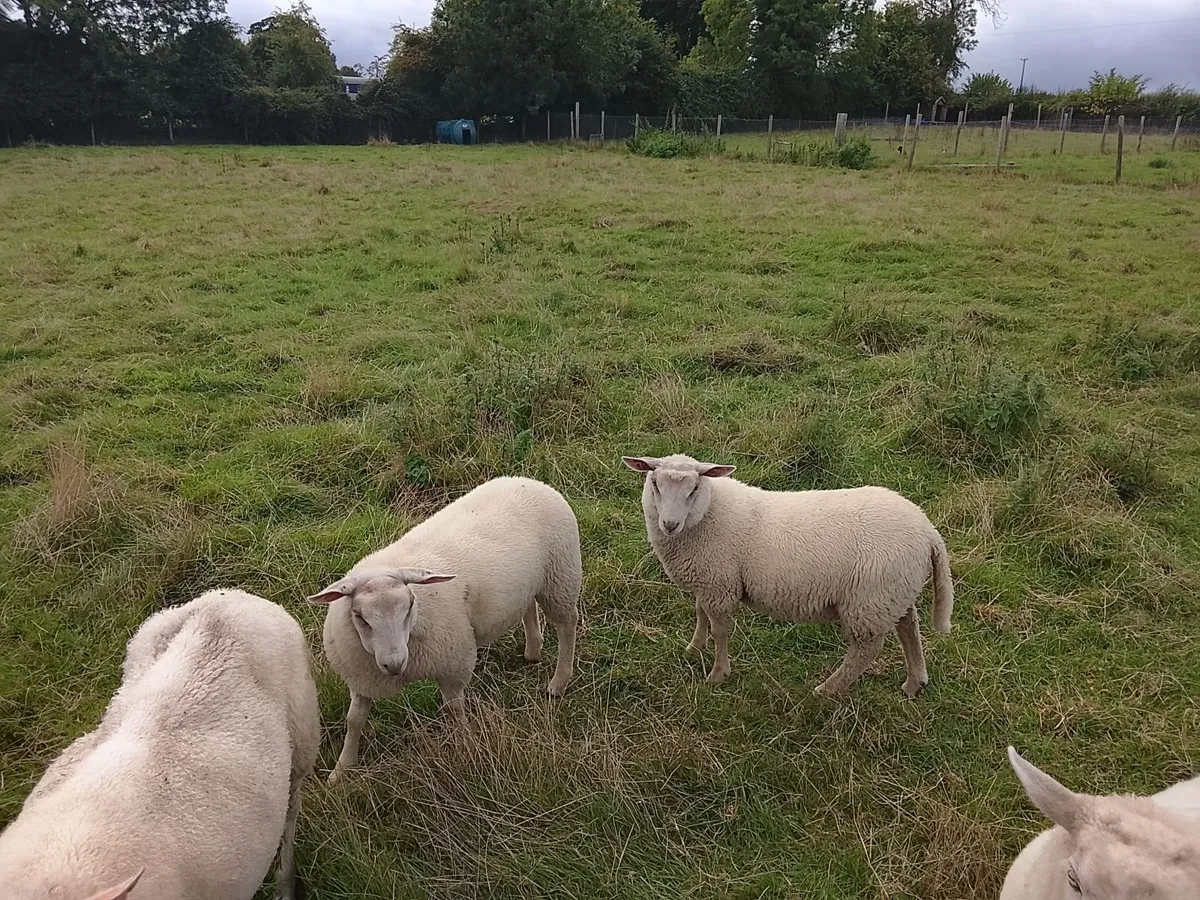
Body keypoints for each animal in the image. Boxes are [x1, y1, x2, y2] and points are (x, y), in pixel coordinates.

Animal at [309, 475, 581, 782]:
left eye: (410, 604)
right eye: (358, 615)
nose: (395, 663)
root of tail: (528, 480)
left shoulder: (453, 662)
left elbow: (454, 710)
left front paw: (465, 746)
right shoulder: (362, 677)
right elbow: (354, 720)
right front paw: (341, 770)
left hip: (561, 578)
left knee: (567, 626)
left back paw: (558, 682)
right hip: (529, 584)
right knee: (528, 606)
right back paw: (533, 650)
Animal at [622, 454, 953, 697]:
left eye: (693, 489)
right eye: (655, 483)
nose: (670, 524)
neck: (708, 513)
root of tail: (928, 531)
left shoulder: (719, 584)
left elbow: (720, 631)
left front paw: (717, 675)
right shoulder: (709, 581)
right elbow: (700, 613)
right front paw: (694, 647)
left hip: (870, 601)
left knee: (866, 650)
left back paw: (827, 689)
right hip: (892, 593)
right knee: (909, 627)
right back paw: (914, 682)